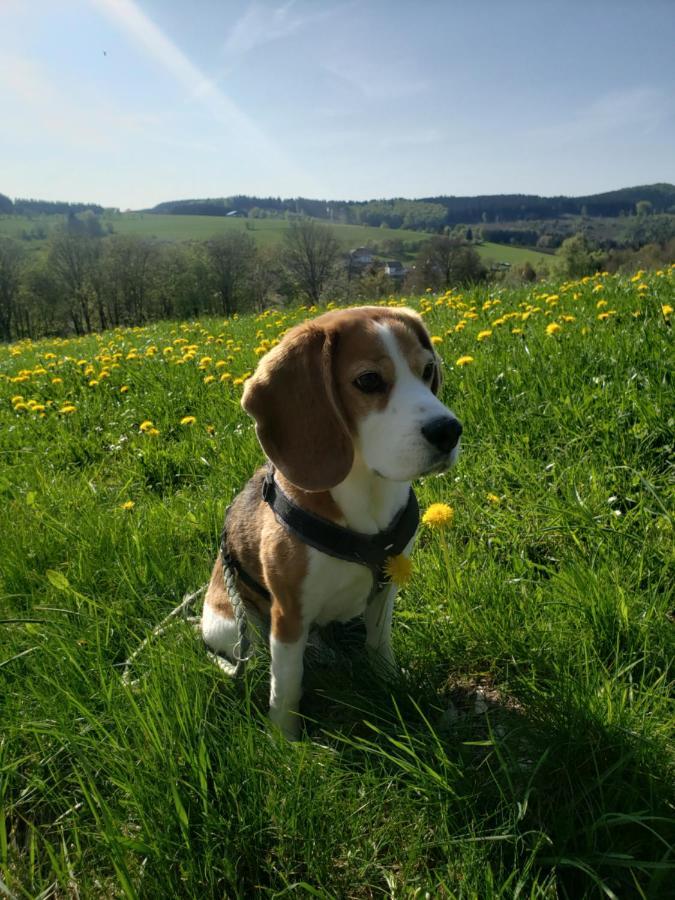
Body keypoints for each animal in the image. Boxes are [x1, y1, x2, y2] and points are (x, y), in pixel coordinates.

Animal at [203, 306, 462, 736]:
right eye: (369, 380)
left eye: (428, 370)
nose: (450, 431)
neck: (365, 491)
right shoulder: (288, 614)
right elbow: (286, 684)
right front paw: (286, 740)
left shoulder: (385, 589)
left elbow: (379, 644)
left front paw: (389, 682)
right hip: (233, 627)